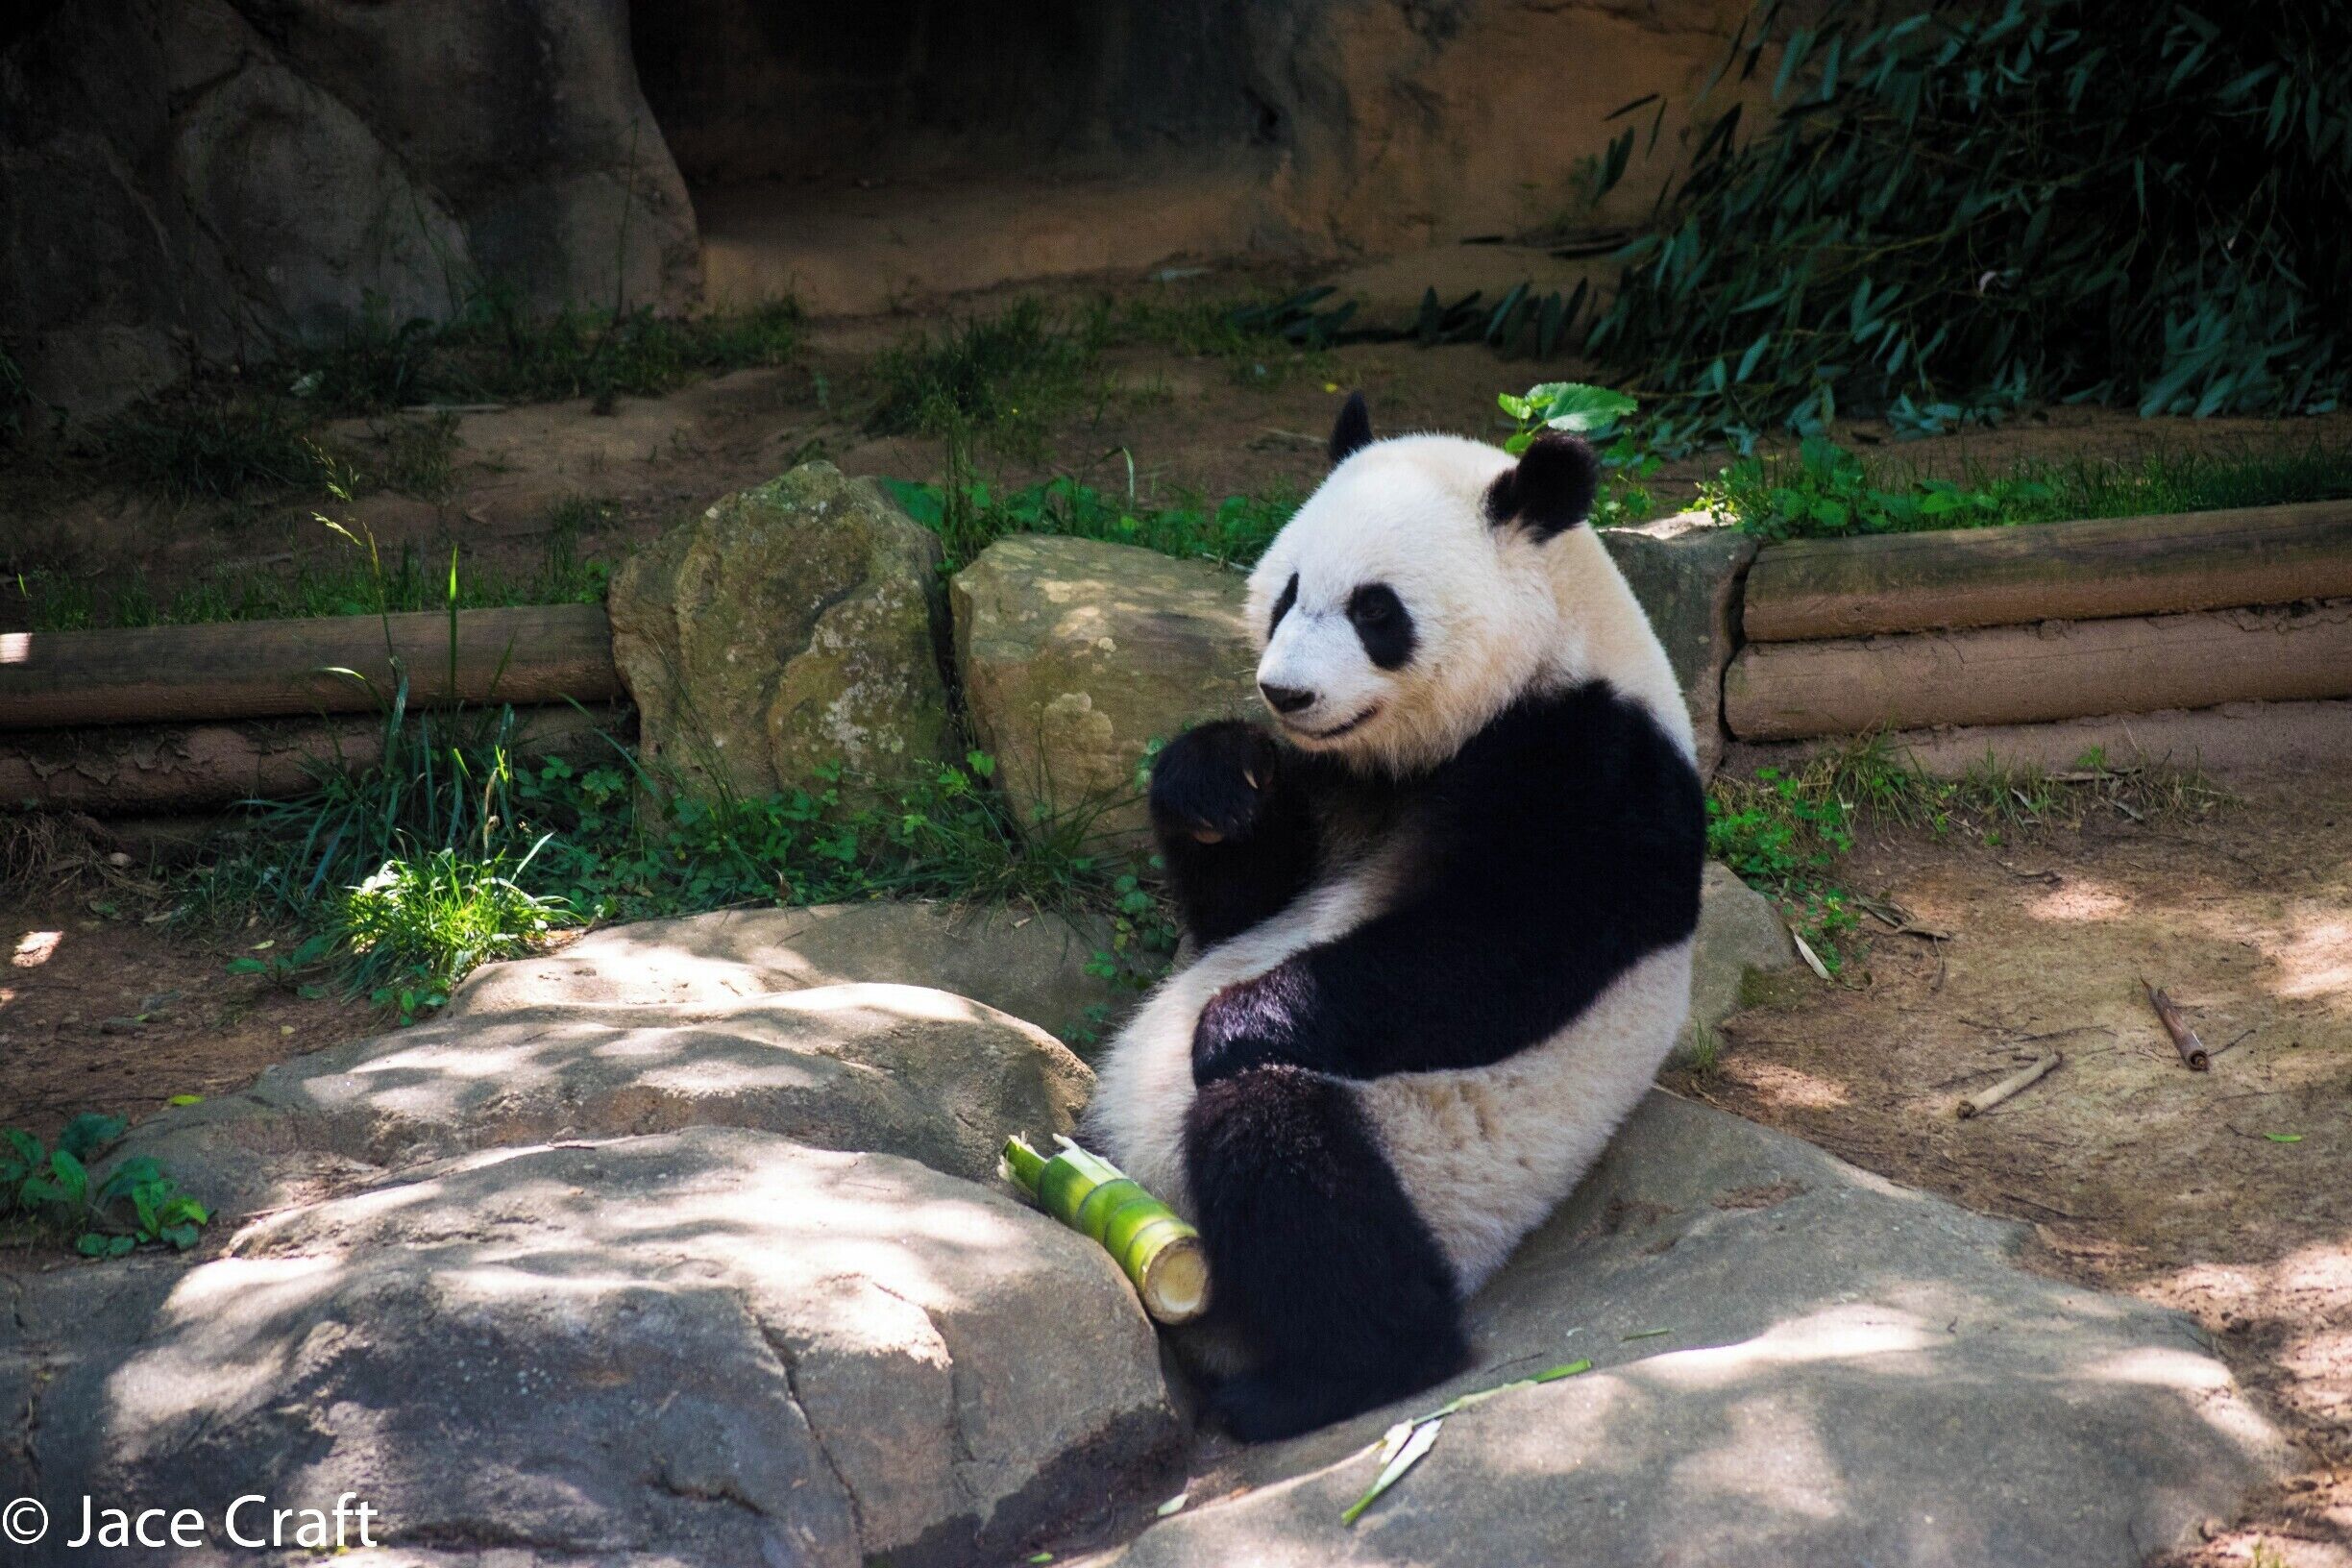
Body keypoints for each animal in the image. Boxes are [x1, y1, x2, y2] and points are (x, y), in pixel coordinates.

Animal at [1083, 391, 1705, 1442]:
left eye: (1377, 611)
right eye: (1287, 592)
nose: (1286, 692)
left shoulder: (1601, 768)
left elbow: (1498, 948)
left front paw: (1234, 1022)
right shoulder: (1338, 781)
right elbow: (1244, 904)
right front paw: (1217, 781)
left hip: (1429, 1162)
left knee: (1288, 1162)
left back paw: (1320, 1379)